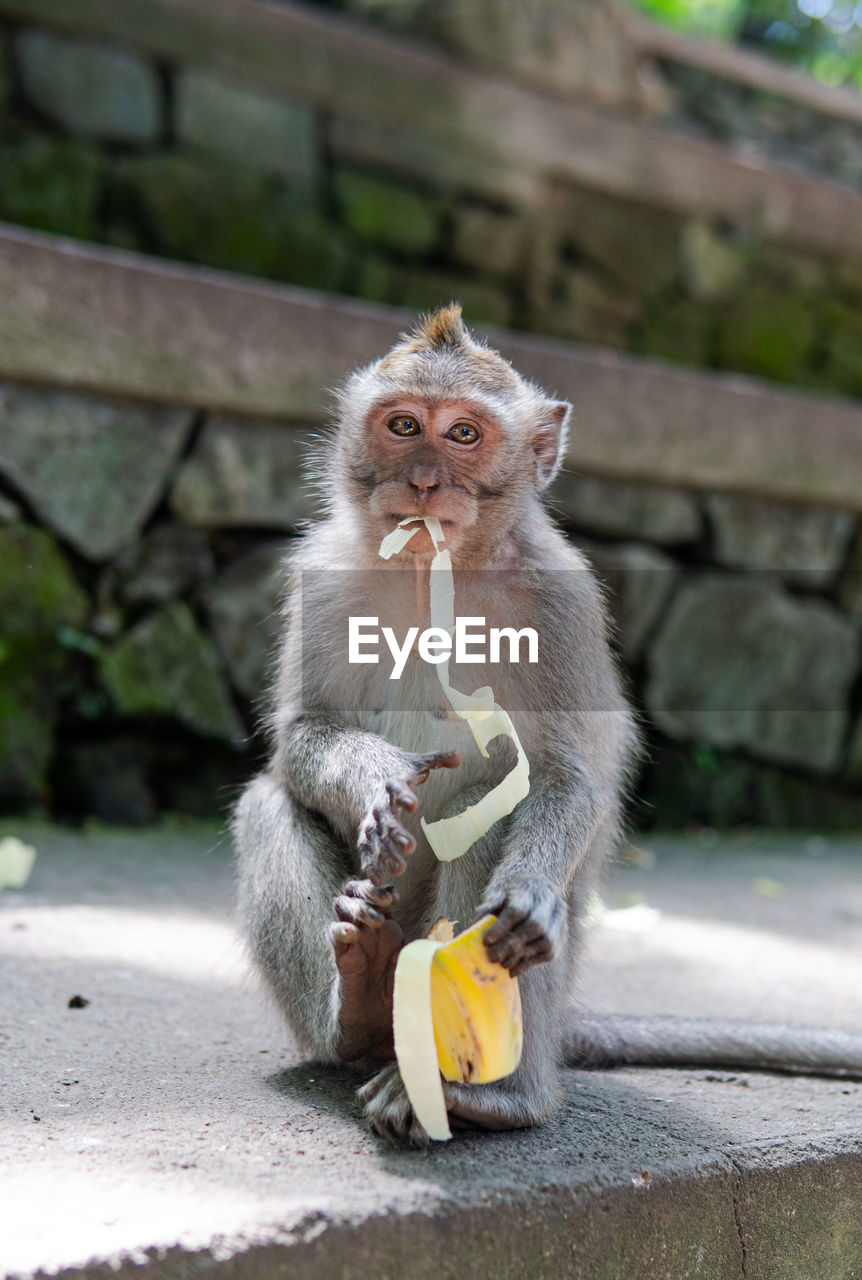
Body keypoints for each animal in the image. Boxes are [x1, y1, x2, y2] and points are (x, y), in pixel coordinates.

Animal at [231, 304, 860, 1146]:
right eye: (404, 425)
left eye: (464, 434)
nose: (423, 479)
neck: (438, 569)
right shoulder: (324, 576)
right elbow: (301, 739)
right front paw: (376, 780)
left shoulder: (560, 601)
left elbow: (565, 777)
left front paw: (528, 893)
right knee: (270, 805)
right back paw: (358, 1006)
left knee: (490, 807)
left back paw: (487, 1096)